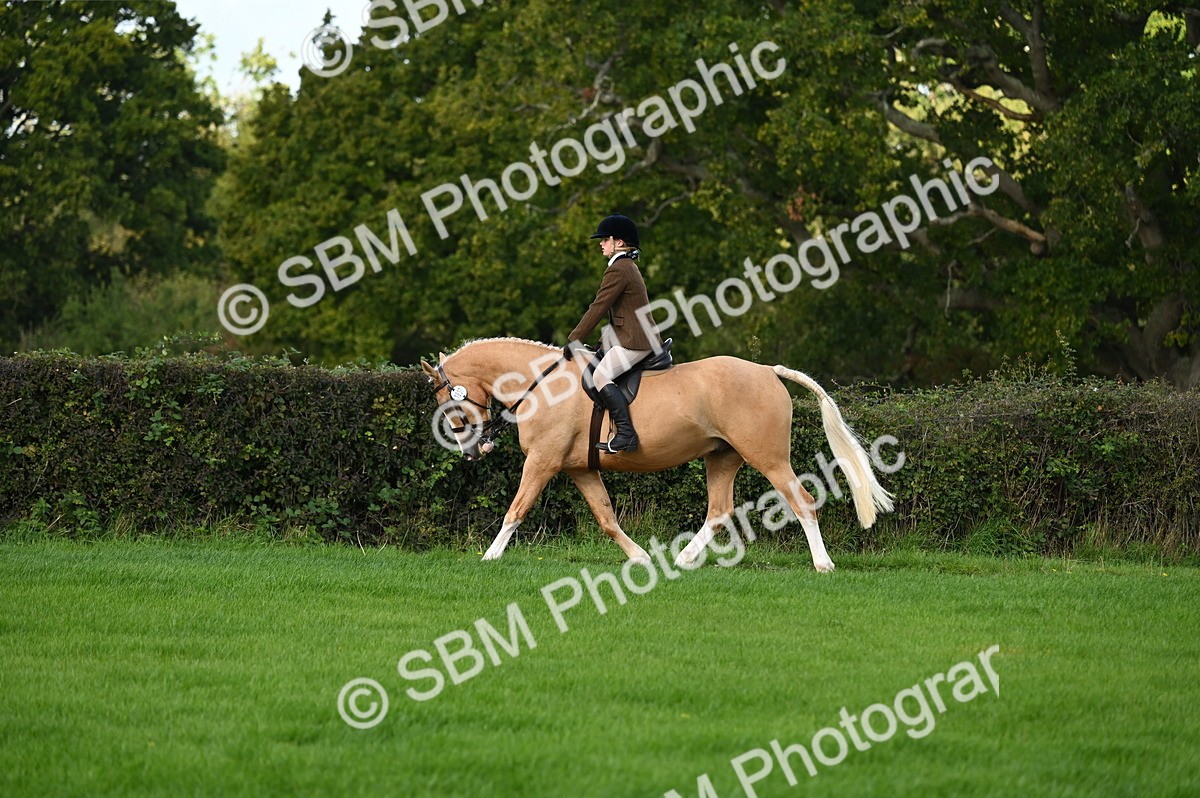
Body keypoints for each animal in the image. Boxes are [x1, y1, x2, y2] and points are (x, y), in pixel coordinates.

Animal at [420, 337, 893, 571]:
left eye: (445, 396)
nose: (472, 451)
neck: (541, 384)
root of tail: (766, 370)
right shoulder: (579, 470)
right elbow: (606, 518)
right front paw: (641, 558)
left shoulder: (542, 462)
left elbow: (516, 510)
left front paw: (490, 557)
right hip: (722, 457)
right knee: (719, 510)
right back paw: (683, 558)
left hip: (768, 457)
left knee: (802, 500)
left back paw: (823, 564)